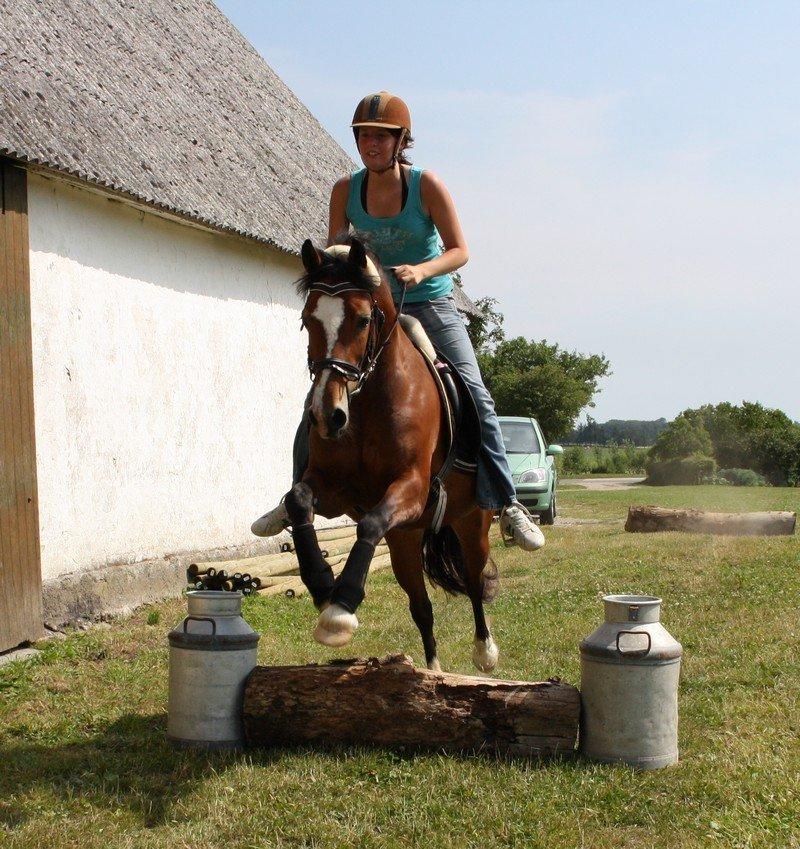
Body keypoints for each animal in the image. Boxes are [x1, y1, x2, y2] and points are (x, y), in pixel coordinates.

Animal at [280, 235, 494, 672]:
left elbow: (370, 523)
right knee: (422, 607)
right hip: (405, 540)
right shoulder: (334, 492)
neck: (368, 403)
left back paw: (485, 653)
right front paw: (322, 584)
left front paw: (340, 609)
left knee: (474, 580)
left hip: (472, 523)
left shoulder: (412, 487)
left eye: (363, 320)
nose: (327, 415)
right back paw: (432, 671)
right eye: (307, 319)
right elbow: (299, 501)